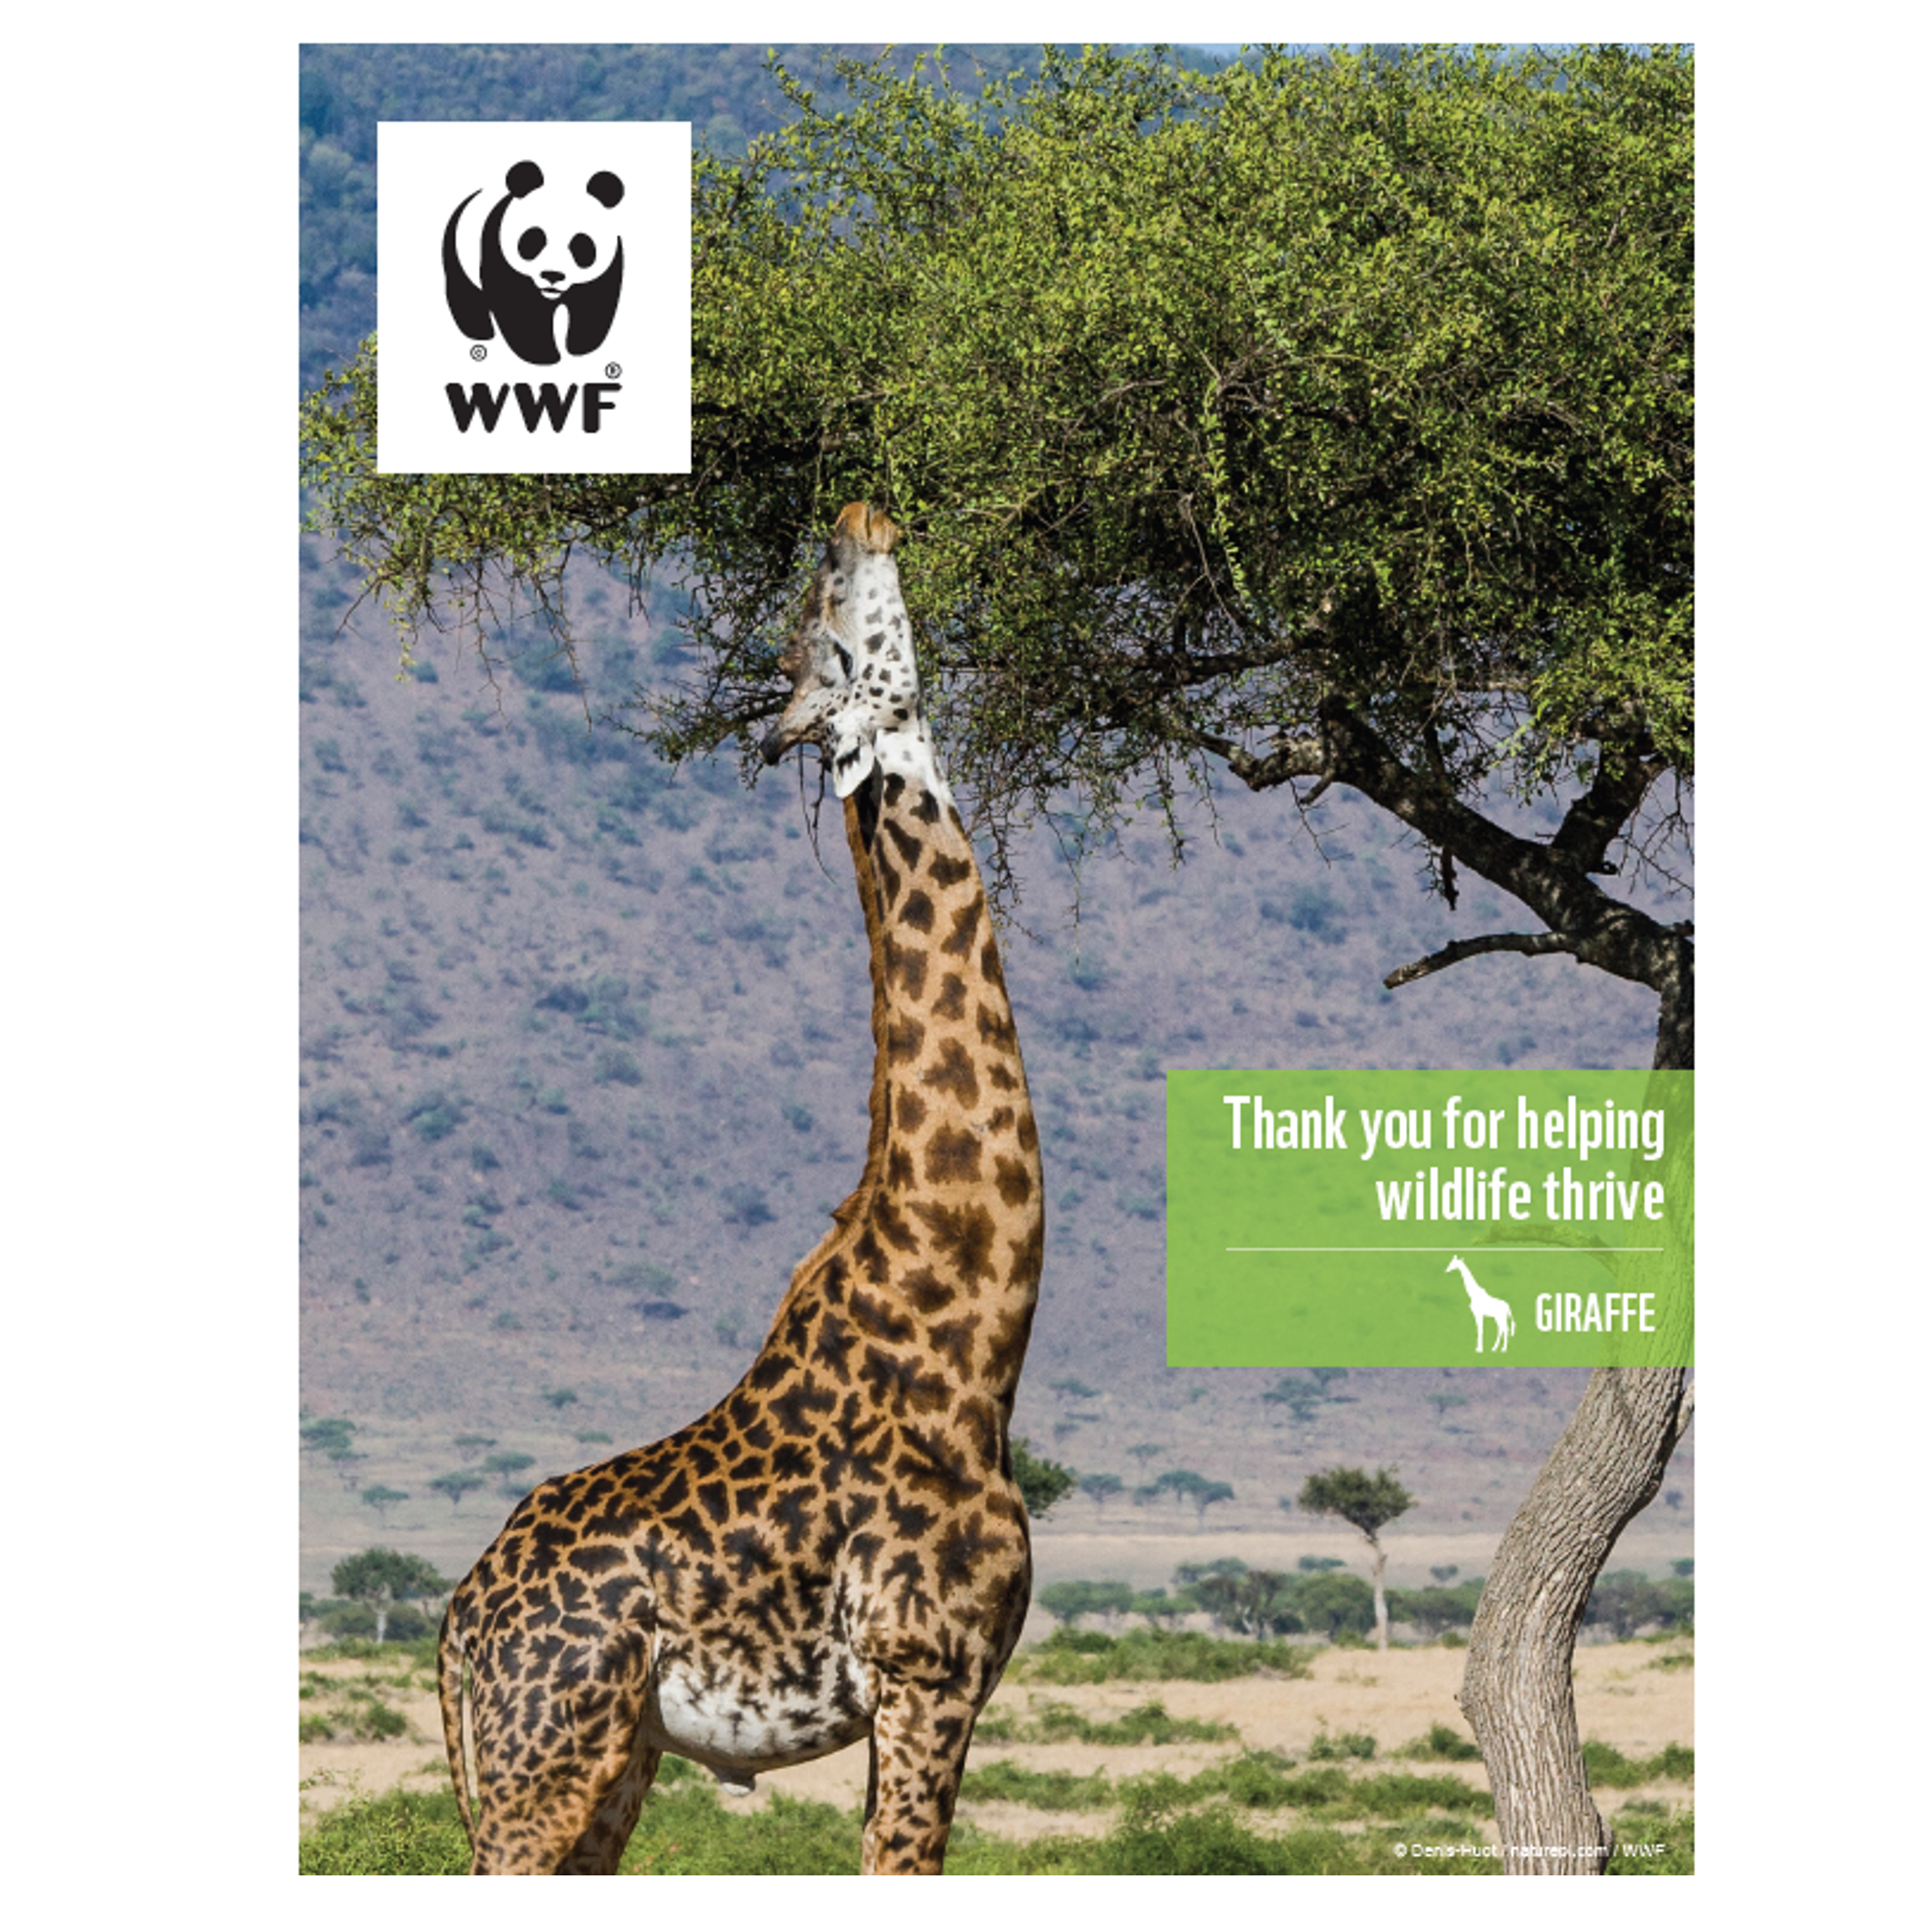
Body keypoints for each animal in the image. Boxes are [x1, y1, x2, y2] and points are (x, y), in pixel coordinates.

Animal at [437, 503, 1044, 1876]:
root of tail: (456, 1623)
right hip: (541, 1759)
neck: (974, 1332)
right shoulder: (927, 1669)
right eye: (826, 620)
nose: (857, 517)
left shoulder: (939, 1689)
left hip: (613, 1764)